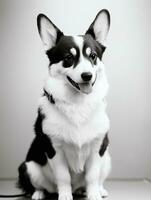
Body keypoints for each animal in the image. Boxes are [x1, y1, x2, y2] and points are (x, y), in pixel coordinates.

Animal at [17, 9, 111, 200]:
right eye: (68, 58)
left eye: (93, 56)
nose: (87, 75)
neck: (78, 102)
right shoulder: (55, 149)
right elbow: (63, 177)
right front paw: (65, 195)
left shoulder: (98, 147)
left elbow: (92, 176)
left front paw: (94, 194)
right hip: (28, 166)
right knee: (40, 185)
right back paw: (39, 193)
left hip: (107, 158)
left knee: (97, 179)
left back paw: (99, 190)